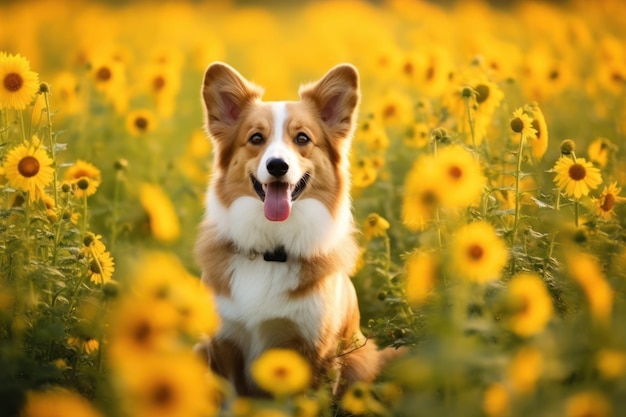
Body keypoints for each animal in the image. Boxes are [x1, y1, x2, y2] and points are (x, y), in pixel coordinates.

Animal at [194, 61, 386, 396]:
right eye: (256, 138)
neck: (272, 249)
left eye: (303, 139)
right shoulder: (223, 345)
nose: (277, 166)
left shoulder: (314, 350)